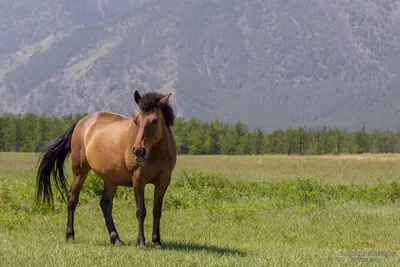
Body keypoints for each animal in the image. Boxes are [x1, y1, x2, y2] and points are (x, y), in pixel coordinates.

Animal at [35, 90, 176, 249]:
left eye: (155, 120)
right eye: (136, 120)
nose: (139, 151)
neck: (157, 152)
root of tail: (82, 122)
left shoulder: (163, 181)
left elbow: (157, 210)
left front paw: (157, 241)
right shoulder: (138, 179)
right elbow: (141, 210)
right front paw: (141, 242)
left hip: (111, 179)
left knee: (105, 204)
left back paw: (116, 239)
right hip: (80, 171)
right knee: (72, 198)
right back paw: (70, 236)